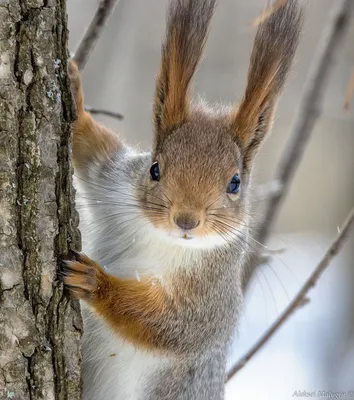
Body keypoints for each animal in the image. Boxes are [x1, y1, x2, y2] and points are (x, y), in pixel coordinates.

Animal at [62, 0, 302, 400]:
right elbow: (92, 154)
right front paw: (75, 99)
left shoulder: (210, 299)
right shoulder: (114, 185)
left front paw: (95, 281)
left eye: (235, 183)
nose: (186, 220)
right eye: (155, 169)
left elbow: (169, 324)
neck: (163, 239)